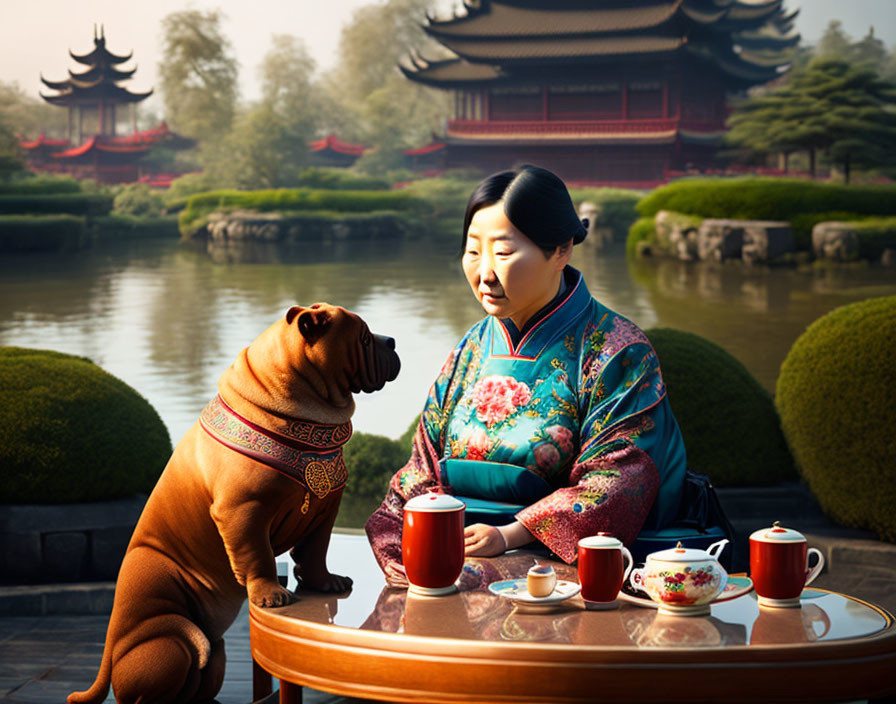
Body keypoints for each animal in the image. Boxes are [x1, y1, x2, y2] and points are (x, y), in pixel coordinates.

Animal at [70, 302, 402, 704]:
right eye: (365, 339)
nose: (392, 339)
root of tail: (111, 647)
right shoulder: (243, 511)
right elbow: (257, 555)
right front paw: (271, 595)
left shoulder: (325, 509)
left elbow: (315, 552)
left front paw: (324, 583)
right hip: (166, 642)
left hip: (216, 655)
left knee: (201, 677)